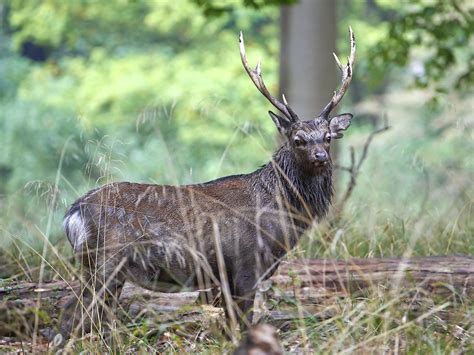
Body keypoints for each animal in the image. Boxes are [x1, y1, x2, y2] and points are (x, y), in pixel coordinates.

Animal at [60, 27, 356, 342]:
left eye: (327, 137)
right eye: (298, 140)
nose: (321, 156)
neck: (281, 216)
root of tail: (72, 214)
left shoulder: (224, 277)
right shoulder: (246, 265)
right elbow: (243, 324)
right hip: (106, 263)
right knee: (72, 314)